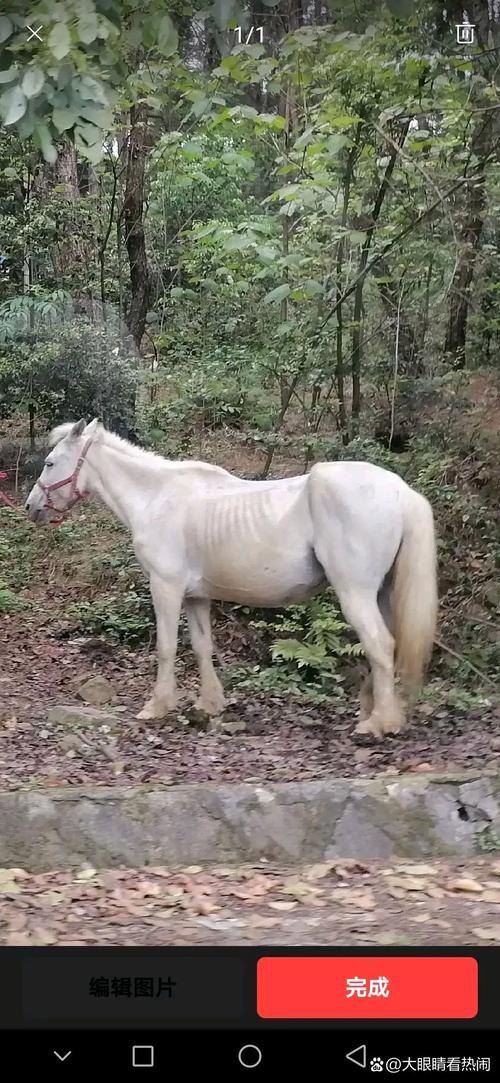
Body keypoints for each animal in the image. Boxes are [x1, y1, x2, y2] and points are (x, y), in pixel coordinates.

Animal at [25, 419, 438, 738]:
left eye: (49, 463)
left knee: (380, 645)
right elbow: (201, 647)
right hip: (380, 594)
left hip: (355, 593)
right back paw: (374, 711)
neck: (157, 498)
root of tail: (400, 491)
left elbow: (166, 647)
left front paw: (157, 705)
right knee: (386, 645)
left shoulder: (165, 588)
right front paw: (210, 703)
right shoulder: (196, 597)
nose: (31, 507)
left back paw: (379, 724)